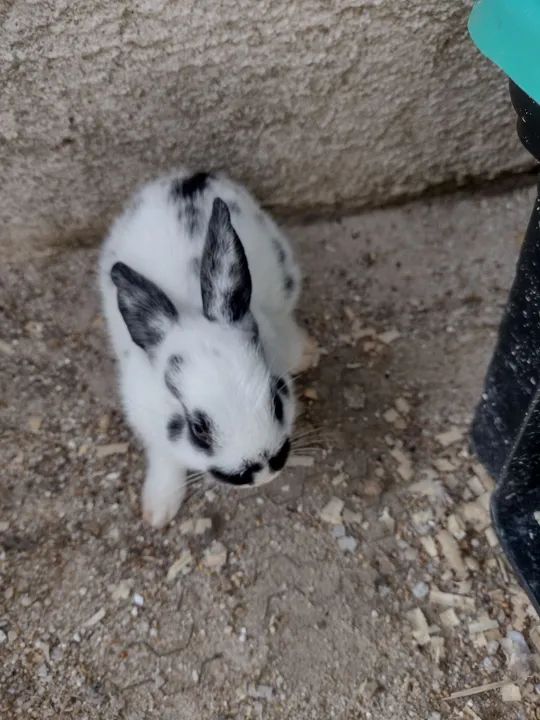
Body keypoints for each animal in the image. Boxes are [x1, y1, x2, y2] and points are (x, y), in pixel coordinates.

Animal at [99, 170, 311, 528]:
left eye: (276, 397)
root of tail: (189, 177)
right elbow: (166, 460)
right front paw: (158, 512)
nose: (263, 471)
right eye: (198, 429)